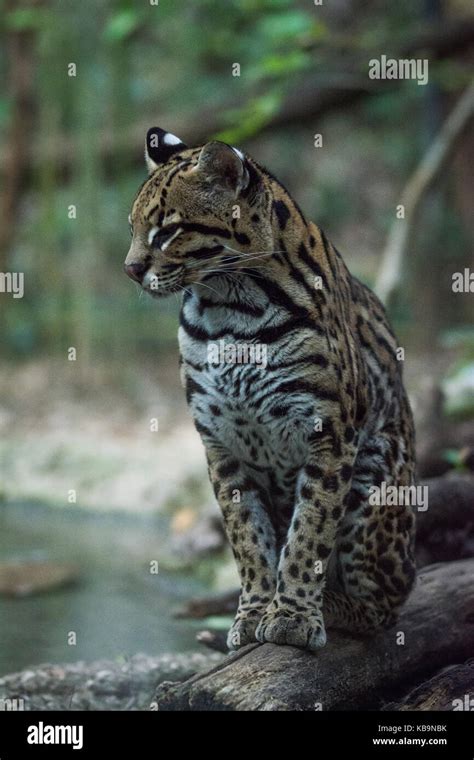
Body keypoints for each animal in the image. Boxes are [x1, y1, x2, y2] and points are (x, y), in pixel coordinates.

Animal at [124, 127, 416, 652]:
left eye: (167, 231)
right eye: (133, 228)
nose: (130, 268)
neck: (231, 307)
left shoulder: (329, 431)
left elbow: (310, 529)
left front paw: (293, 615)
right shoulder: (220, 441)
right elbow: (247, 538)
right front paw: (256, 609)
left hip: (378, 475)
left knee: (386, 607)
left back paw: (333, 604)